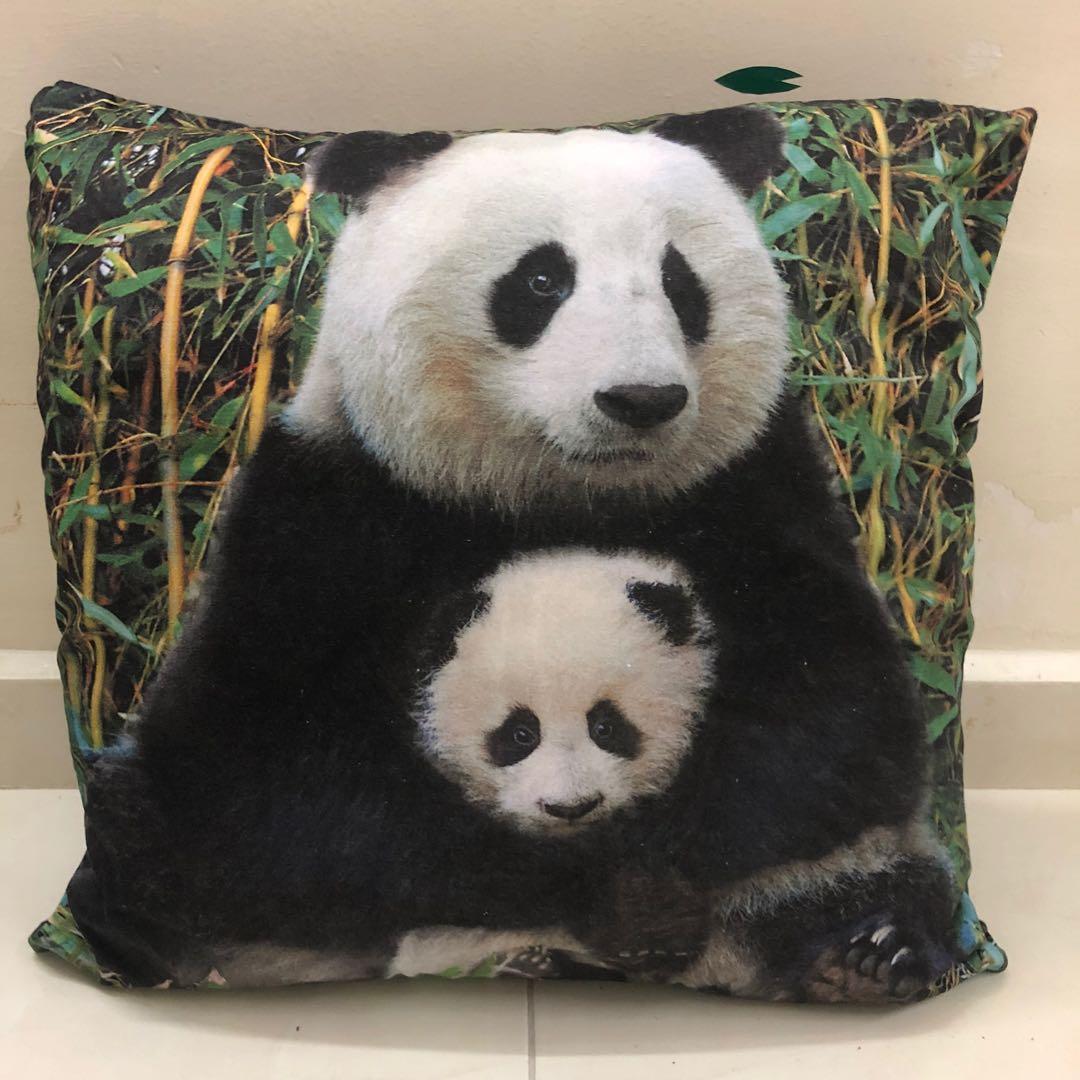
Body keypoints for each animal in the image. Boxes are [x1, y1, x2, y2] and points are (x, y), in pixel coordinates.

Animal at [67, 105, 957, 1001]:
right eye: (541, 281)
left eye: (679, 283)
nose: (641, 400)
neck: (556, 493)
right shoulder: (322, 512)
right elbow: (263, 785)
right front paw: (610, 893)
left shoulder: (759, 488)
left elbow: (832, 725)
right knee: (137, 834)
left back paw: (865, 956)